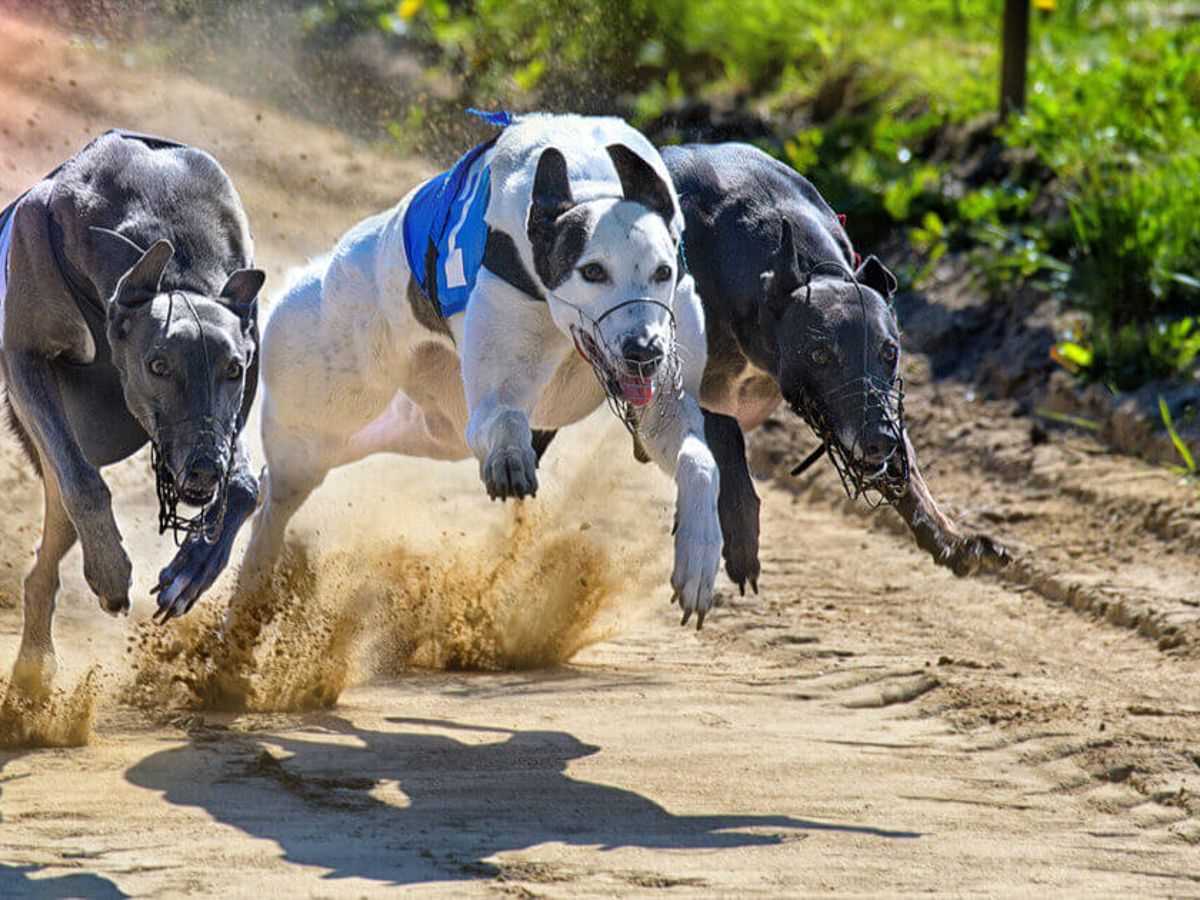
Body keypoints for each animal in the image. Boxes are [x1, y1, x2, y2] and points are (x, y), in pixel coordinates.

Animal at [238, 111, 715, 619]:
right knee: (276, 496)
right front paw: (509, 459)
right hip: (322, 413)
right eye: (592, 271)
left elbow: (698, 460)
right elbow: (504, 417)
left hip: (428, 428)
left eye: (663, 271)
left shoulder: (665, 406)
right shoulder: (496, 393)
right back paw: (245, 592)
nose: (644, 351)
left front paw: (700, 560)